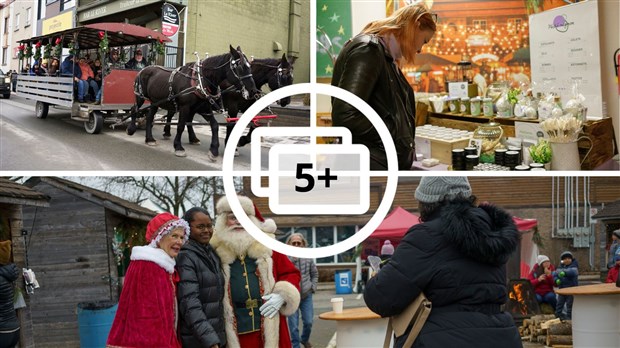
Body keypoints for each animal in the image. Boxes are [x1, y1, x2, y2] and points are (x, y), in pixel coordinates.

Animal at [128, 45, 260, 157]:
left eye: (250, 66)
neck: (199, 81)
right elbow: (181, 125)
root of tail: (144, 69)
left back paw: (149, 139)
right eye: (240, 67)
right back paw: (131, 129)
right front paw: (178, 147)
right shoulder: (185, 107)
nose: (253, 91)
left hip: (155, 101)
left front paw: (213, 149)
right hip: (140, 96)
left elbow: (214, 125)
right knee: (134, 109)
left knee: (150, 116)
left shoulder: (203, 108)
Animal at [161, 53, 294, 152]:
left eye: (292, 78)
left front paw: (242, 141)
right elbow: (231, 125)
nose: (286, 101)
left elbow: (254, 126)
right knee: (171, 113)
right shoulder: (232, 107)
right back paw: (167, 132)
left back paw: (193, 139)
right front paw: (231, 144)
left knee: (188, 119)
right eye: (284, 77)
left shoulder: (246, 108)